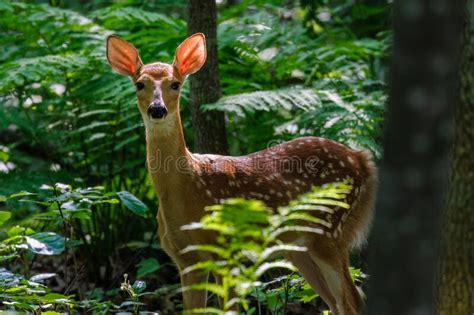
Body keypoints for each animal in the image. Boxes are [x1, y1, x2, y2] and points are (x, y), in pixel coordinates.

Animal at [107, 33, 378, 314]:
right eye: (139, 84)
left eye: (175, 84)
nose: (157, 109)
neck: (188, 186)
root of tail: (363, 159)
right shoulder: (186, 260)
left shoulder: (227, 251)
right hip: (300, 247)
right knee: (337, 303)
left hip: (331, 231)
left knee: (354, 300)